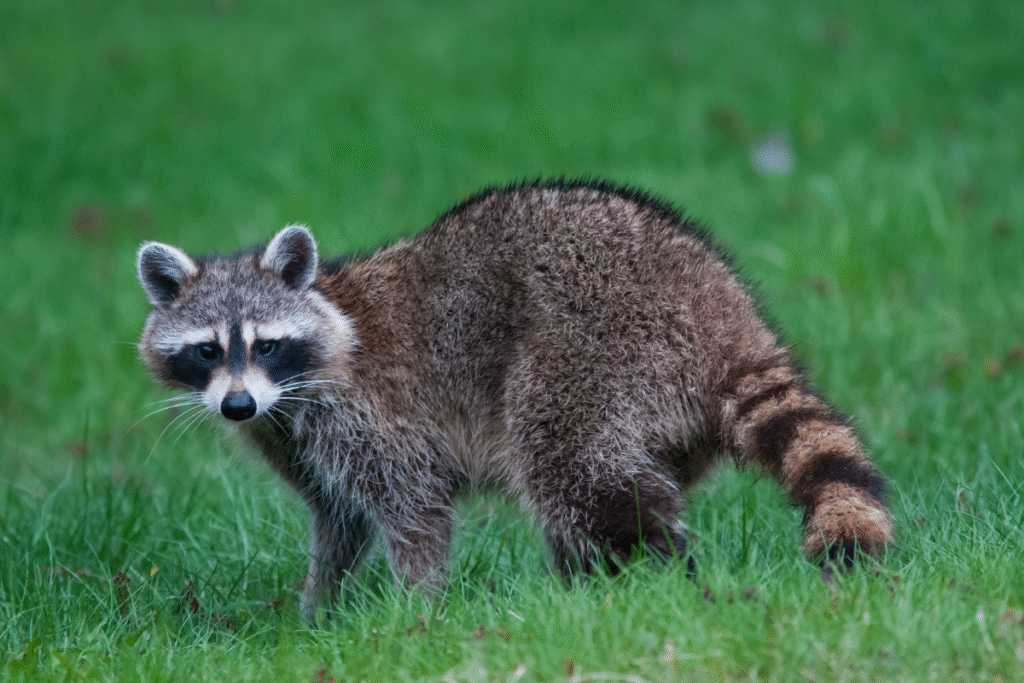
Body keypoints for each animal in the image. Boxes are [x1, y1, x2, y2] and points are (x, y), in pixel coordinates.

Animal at [137, 179, 891, 610]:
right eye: (206, 351)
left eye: (265, 344)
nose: (236, 406)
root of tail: (719, 308)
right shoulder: (297, 436)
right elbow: (339, 523)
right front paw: (318, 612)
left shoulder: (370, 417)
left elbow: (416, 512)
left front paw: (417, 613)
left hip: (594, 349)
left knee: (578, 473)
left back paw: (654, 579)